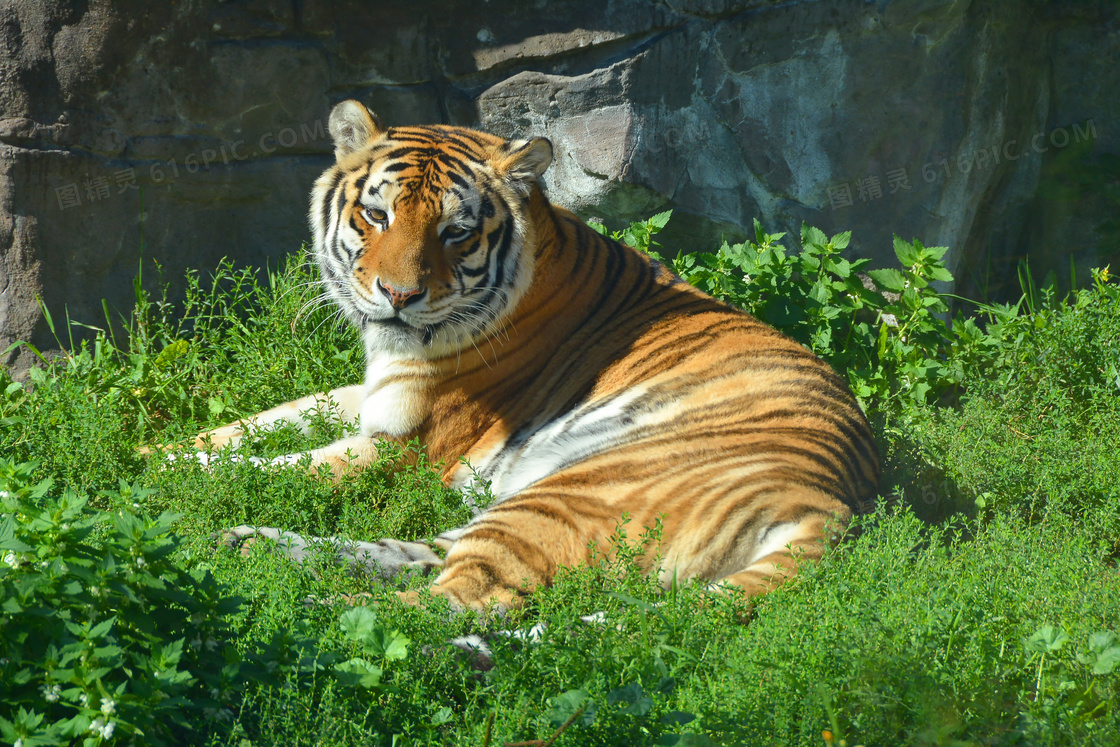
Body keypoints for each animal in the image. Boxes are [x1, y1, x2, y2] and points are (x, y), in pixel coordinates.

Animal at [192, 99, 878, 613]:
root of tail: (831, 505)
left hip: (563, 494)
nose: (398, 297)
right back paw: (247, 548)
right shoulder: (371, 391)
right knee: (417, 556)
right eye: (375, 214)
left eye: (456, 232)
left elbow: (270, 467)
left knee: (453, 601)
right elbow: (256, 425)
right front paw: (176, 449)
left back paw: (295, 611)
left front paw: (173, 479)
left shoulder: (404, 445)